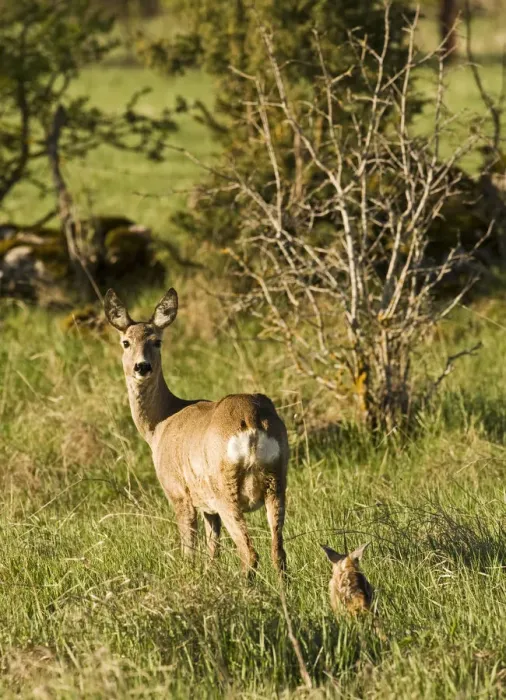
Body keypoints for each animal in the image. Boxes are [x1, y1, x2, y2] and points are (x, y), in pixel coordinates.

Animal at [104, 287, 289, 575]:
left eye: (157, 341)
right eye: (125, 342)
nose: (142, 367)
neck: (160, 424)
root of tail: (252, 420)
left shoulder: (179, 494)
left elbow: (189, 550)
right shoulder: (207, 507)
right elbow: (213, 550)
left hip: (226, 490)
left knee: (250, 553)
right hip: (277, 482)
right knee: (278, 552)